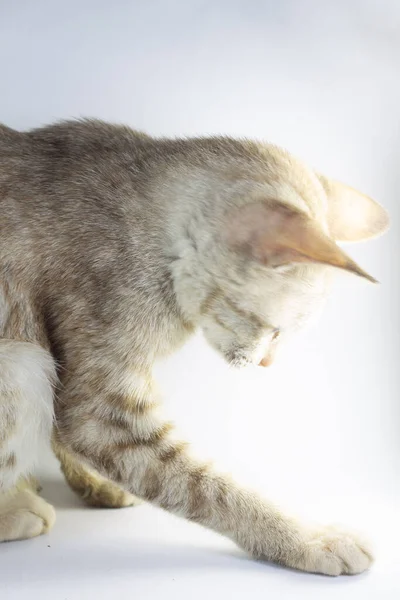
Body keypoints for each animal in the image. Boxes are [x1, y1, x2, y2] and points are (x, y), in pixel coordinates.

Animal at [0, 119, 388, 576]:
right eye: (276, 332)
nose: (268, 364)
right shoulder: (100, 412)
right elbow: (208, 489)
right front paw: (308, 539)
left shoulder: (73, 374)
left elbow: (65, 436)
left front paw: (96, 483)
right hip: (23, 366)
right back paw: (16, 509)